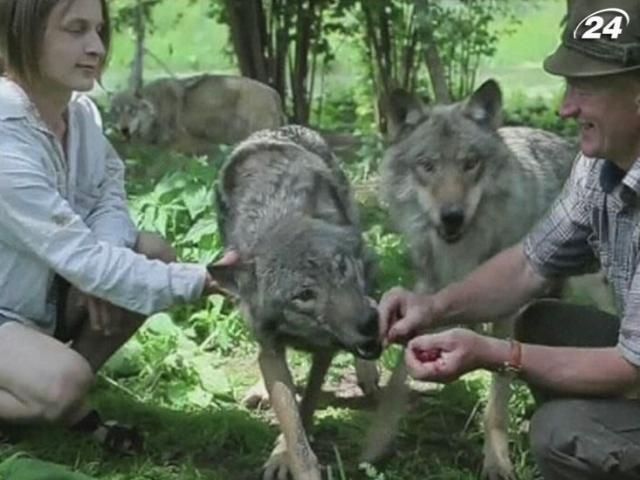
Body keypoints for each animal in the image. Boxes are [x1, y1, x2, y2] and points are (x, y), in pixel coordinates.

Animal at [209, 124, 380, 480]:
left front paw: (284, 453)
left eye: (341, 268)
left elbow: (306, 405)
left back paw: (367, 371)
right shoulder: (272, 348)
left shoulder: (328, 349)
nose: (369, 324)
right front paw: (290, 457)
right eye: (304, 295)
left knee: (374, 296)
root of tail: (276, 129)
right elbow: (290, 417)